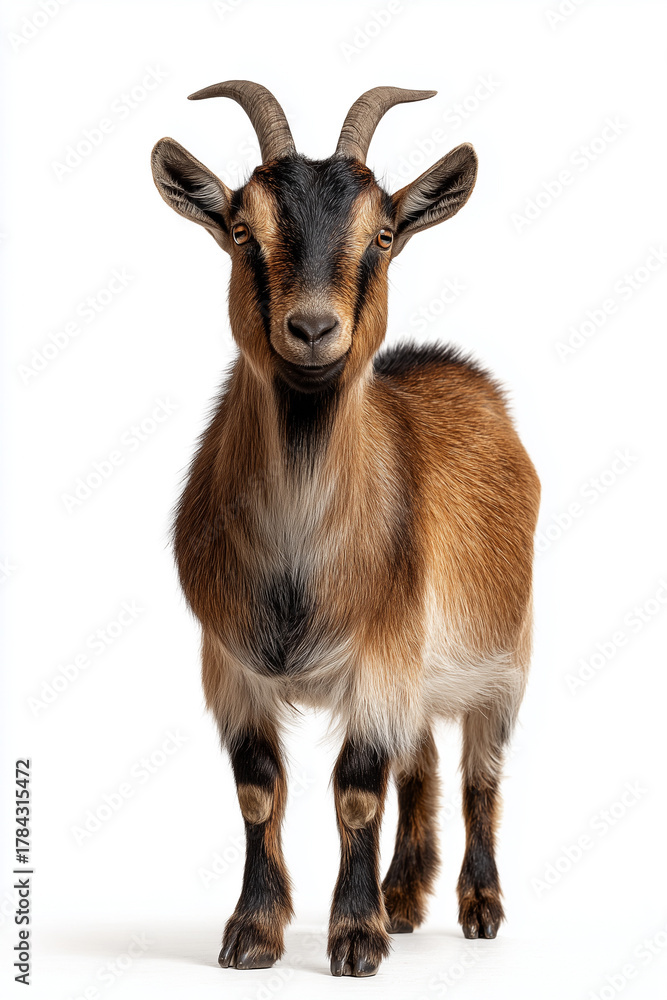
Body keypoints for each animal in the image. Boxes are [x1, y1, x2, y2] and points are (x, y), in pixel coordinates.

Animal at [151, 80, 540, 979]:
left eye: (383, 235)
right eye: (241, 229)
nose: (312, 329)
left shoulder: (381, 657)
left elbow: (358, 790)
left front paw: (354, 940)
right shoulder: (230, 662)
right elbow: (259, 789)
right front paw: (253, 933)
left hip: (503, 659)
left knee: (479, 774)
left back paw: (477, 906)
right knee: (422, 766)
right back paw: (404, 897)